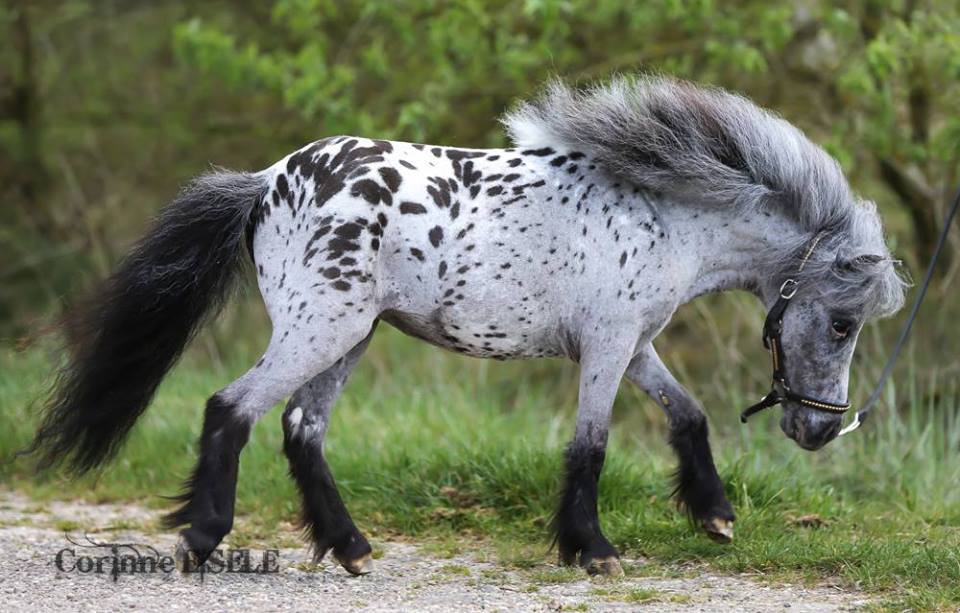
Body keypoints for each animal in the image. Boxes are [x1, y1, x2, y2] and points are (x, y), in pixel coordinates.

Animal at [27, 76, 905, 577]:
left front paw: (715, 515)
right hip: (321, 328)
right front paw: (594, 551)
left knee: (302, 428)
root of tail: (269, 181)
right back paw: (203, 539)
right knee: (232, 407)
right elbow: (591, 444)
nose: (817, 431)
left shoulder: (636, 343)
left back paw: (351, 548)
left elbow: (686, 415)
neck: (664, 211)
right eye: (841, 324)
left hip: (351, 336)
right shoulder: (608, 345)